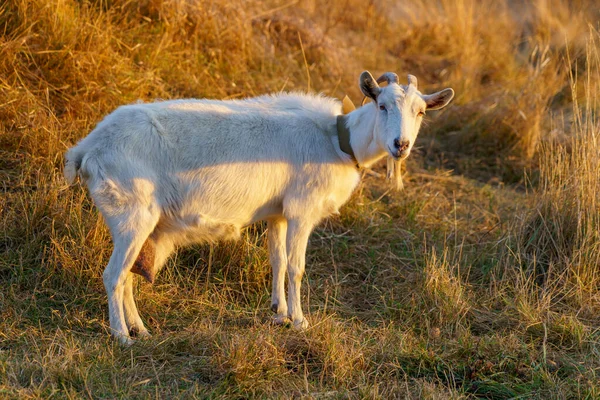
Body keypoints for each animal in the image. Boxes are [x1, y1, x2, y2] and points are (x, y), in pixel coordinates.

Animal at [63, 69, 452, 344]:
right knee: (113, 275)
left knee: (127, 276)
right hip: (131, 213)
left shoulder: (277, 213)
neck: (338, 141)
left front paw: (278, 313)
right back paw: (122, 337)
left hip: (138, 222)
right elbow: (296, 266)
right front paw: (300, 321)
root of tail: (87, 149)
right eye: (382, 105)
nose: (400, 144)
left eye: (420, 112)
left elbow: (277, 260)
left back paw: (141, 330)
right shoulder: (301, 210)